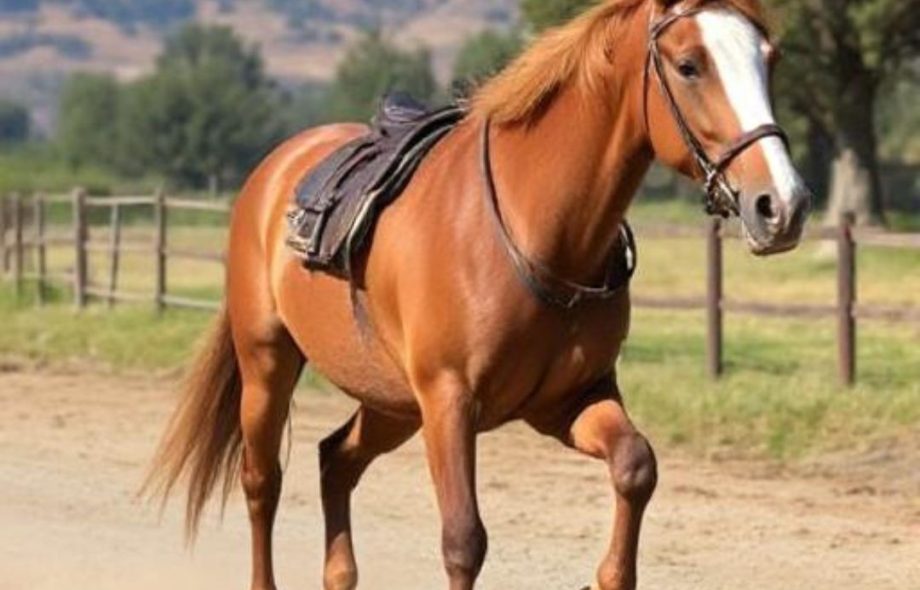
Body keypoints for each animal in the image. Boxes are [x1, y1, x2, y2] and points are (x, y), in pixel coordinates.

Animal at [145, 0, 812, 588]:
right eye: (689, 65)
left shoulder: (570, 400)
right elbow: (464, 540)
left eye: (771, 60)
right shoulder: (449, 400)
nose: (782, 205)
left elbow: (635, 466)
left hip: (391, 402)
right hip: (269, 364)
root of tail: (273, 173)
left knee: (336, 460)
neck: (538, 229)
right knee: (263, 482)